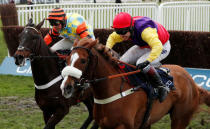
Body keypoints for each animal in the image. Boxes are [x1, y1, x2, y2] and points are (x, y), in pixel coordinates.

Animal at [60, 37, 210, 129]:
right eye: (67, 59)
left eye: (83, 60)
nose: (66, 87)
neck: (112, 90)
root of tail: (192, 81)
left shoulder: (123, 126)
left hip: (180, 118)